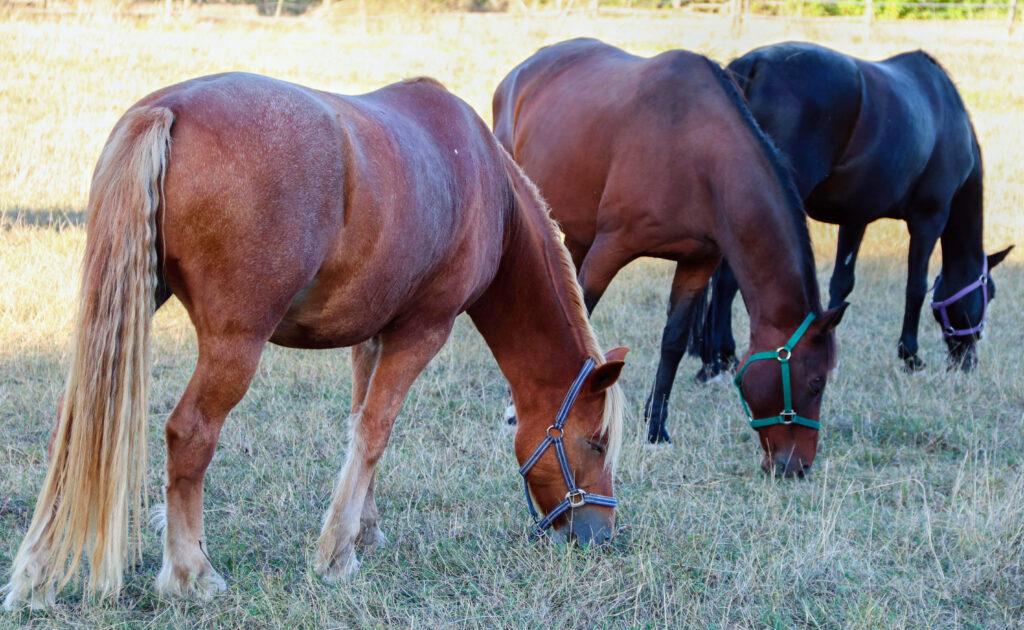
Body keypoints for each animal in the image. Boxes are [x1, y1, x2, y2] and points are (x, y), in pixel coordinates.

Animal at [2, 71, 622, 610]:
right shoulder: (422, 332)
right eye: (595, 443)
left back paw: (35, 575)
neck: (483, 180)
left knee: (74, 423)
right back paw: (190, 572)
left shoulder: (373, 337)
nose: (601, 534)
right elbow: (375, 431)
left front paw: (363, 530)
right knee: (189, 435)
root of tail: (169, 108)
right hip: (235, 347)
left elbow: (359, 427)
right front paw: (337, 556)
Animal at [491, 35, 843, 469]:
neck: (696, 152)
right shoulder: (611, 248)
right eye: (815, 382)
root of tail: (521, 71)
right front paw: (519, 412)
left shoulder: (699, 261)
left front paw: (656, 427)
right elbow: (579, 318)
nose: (797, 465)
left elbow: (673, 342)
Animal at [692, 42, 1011, 389]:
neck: (946, 116)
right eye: (990, 294)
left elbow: (841, 283)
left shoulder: (856, 217)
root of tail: (751, 66)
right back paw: (719, 360)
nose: (967, 362)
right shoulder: (929, 219)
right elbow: (916, 286)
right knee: (728, 278)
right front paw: (911, 356)